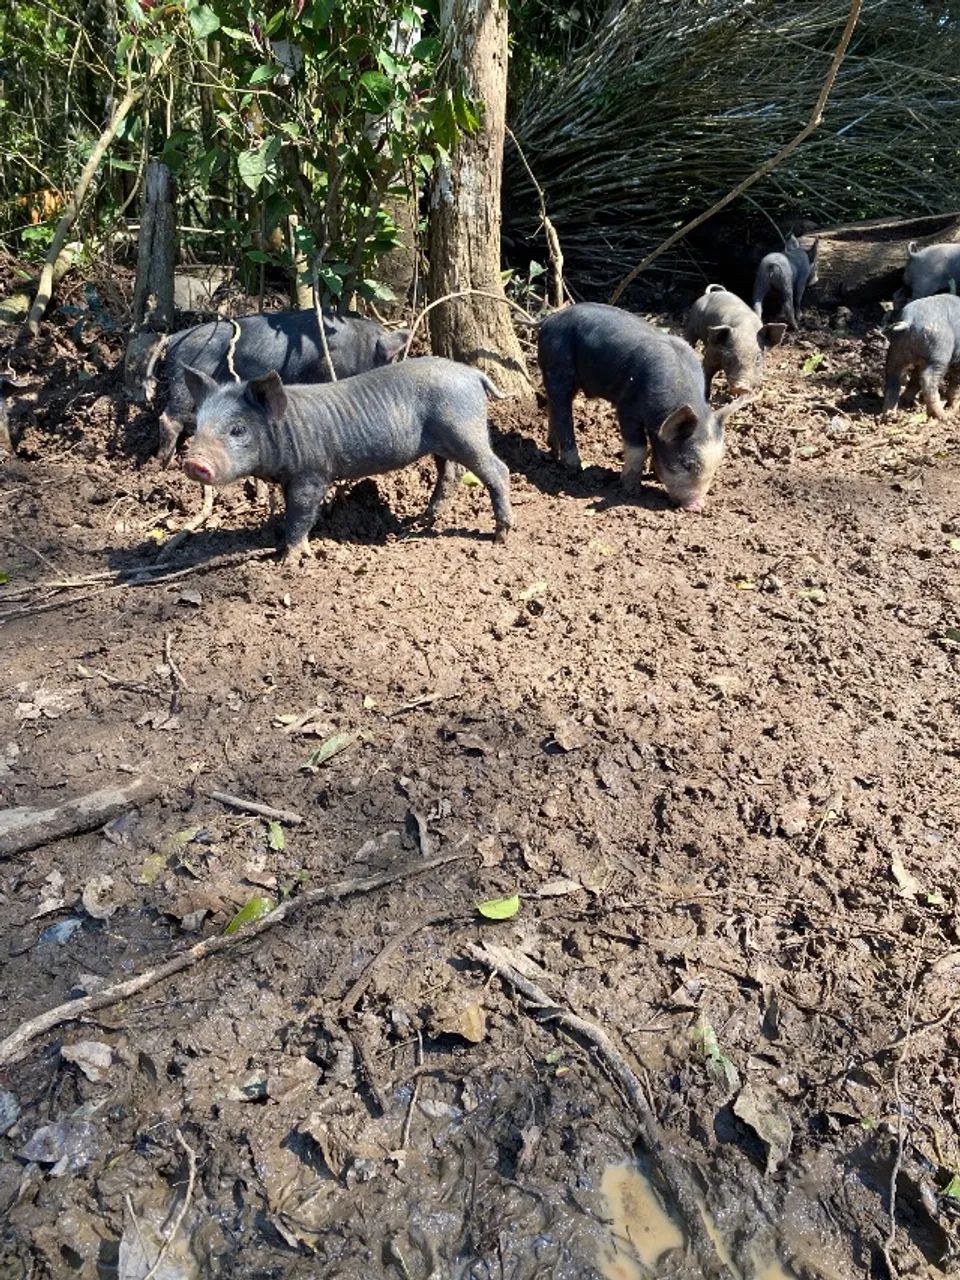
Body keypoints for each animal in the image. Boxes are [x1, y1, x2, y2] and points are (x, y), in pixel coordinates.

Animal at [153, 309, 410, 467]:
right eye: (390, 359)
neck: (359, 346)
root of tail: (173, 338)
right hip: (185, 377)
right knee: (169, 416)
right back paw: (164, 461)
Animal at [180, 356, 512, 560]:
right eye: (197, 426)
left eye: (238, 429)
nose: (194, 462)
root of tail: (472, 374)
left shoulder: (312, 473)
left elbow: (301, 513)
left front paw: (289, 559)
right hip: (444, 440)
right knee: (451, 473)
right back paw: (416, 525)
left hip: (465, 428)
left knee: (498, 469)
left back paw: (500, 536)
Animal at [537, 302, 749, 512]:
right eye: (687, 464)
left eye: (717, 464)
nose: (697, 506)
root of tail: (549, 321)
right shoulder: (627, 407)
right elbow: (638, 447)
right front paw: (631, 489)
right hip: (557, 367)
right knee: (563, 410)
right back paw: (574, 467)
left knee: (554, 406)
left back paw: (553, 450)